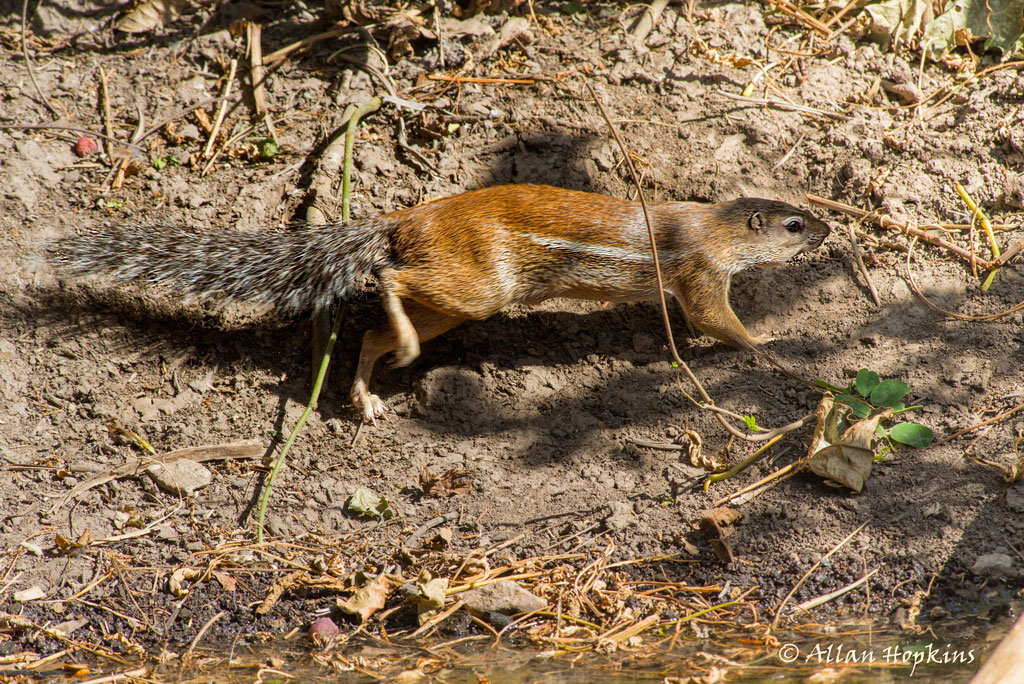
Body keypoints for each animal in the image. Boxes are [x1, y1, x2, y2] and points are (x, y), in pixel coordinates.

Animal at [54, 184, 830, 423]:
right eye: (795, 224)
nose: (829, 228)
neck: (715, 224)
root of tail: (400, 221)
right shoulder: (700, 276)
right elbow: (717, 324)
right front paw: (774, 346)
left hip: (459, 300)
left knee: (371, 333)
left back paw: (367, 395)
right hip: (478, 290)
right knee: (387, 283)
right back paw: (397, 350)